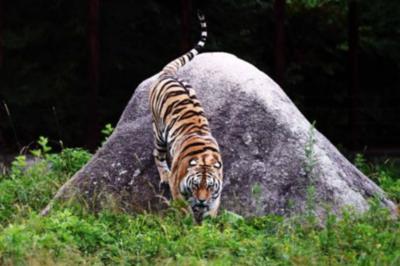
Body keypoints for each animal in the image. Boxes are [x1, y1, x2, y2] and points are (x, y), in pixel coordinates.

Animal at [149, 10, 223, 222]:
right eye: (196, 185)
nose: (201, 201)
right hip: (159, 132)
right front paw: (187, 225)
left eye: (210, 187)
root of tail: (167, 75)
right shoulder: (179, 190)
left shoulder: (216, 197)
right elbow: (184, 211)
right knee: (157, 154)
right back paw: (164, 176)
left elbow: (211, 214)